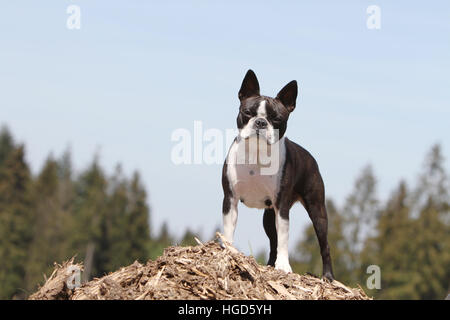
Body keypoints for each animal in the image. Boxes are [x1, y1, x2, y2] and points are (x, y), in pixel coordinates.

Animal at [221, 69, 334, 280]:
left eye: (277, 120)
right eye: (247, 113)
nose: (260, 122)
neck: (256, 154)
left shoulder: (282, 207)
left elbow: (283, 239)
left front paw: (283, 266)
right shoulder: (230, 199)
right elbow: (229, 229)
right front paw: (227, 251)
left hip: (317, 210)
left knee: (324, 245)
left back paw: (328, 277)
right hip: (268, 217)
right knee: (272, 242)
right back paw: (269, 264)